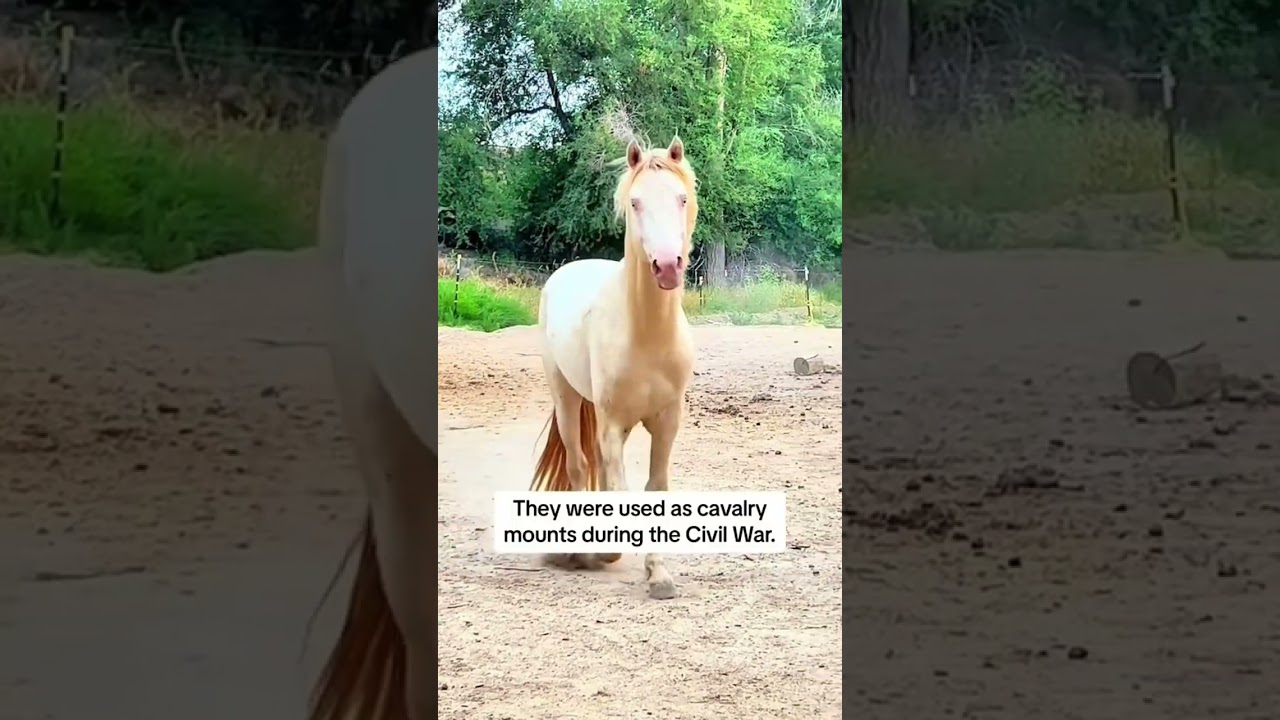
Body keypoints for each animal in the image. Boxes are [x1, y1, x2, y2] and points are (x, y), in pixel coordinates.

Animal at [529, 136, 699, 600]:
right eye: (636, 202)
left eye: (681, 198)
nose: (667, 265)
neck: (646, 336)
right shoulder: (611, 423)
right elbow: (618, 486)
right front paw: (608, 552)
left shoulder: (667, 422)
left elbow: (654, 488)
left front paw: (659, 574)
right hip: (567, 399)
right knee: (578, 464)